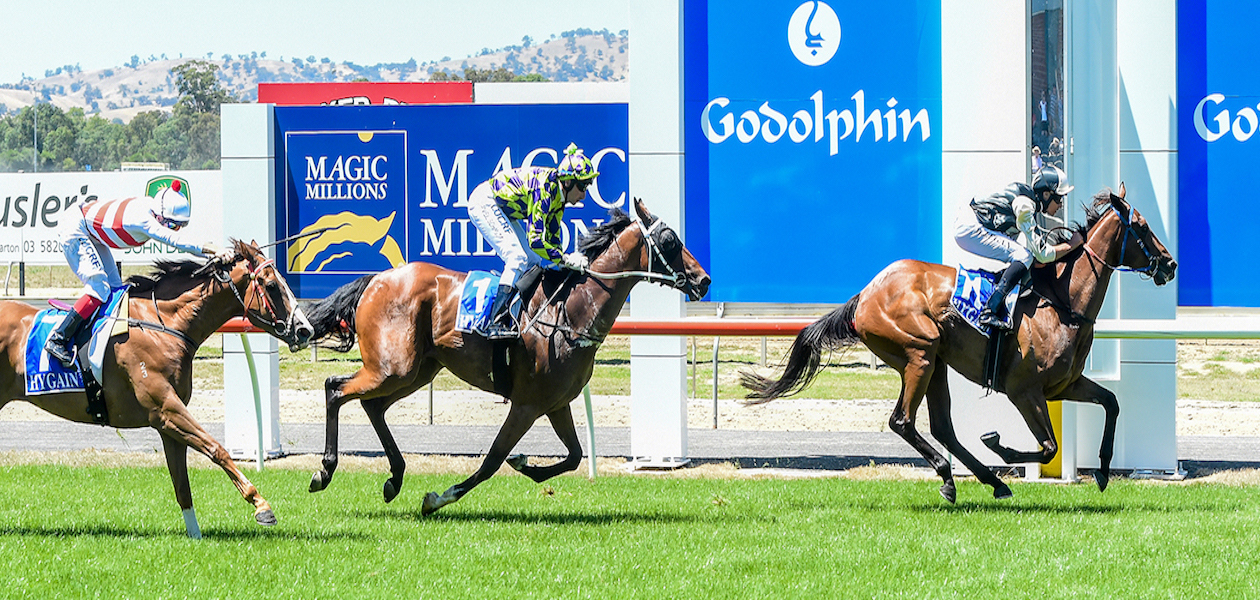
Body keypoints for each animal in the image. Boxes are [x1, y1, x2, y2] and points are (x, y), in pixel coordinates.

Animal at [0, 240, 313, 538]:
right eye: (271, 285)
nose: (305, 330)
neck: (163, 325)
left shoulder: (168, 422)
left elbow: (182, 483)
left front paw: (195, 535)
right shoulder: (165, 408)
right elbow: (217, 449)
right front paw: (262, 506)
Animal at [303, 198, 710, 515]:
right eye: (670, 240)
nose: (703, 280)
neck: (570, 311)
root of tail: (375, 279)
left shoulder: (556, 402)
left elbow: (574, 456)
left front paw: (526, 464)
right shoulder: (526, 404)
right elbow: (492, 460)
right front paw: (438, 498)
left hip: (418, 370)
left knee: (372, 405)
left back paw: (395, 477)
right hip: (394, 368)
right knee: (335, 388)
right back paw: (324, 471)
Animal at [742, 185, 1177, 502]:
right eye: (1142, 226)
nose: (1170, 264)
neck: (1062, 301)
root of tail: (866, 294)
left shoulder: (1064, 384)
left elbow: (1111, 403)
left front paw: (1102, 470)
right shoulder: (1024, 390)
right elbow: (1048, 446)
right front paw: (1000, 446)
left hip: (937, 362)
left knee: (943, 428)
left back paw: (988, 482)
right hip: (920, 353)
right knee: (903, 421)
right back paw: (955, 478)